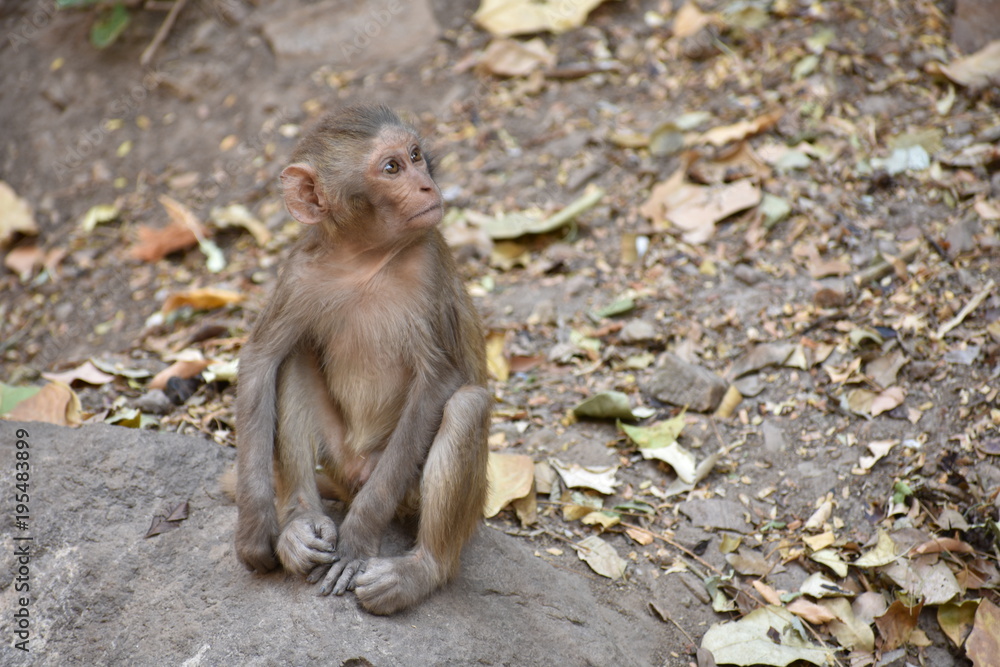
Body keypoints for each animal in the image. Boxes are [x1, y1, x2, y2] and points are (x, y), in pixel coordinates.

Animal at [230, 103, 488, 616]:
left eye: (415, 156)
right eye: (391, 168)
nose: (426, 186)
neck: (365, 258)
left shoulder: (429, 264)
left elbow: (439, 380)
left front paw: (357, 539)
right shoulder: (299, 274)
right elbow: (261, 362)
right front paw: (255, 531)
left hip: (402, 488)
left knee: (467, 406)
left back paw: (421, 570)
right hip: (339, 458)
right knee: (292, 360)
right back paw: (300, 525)